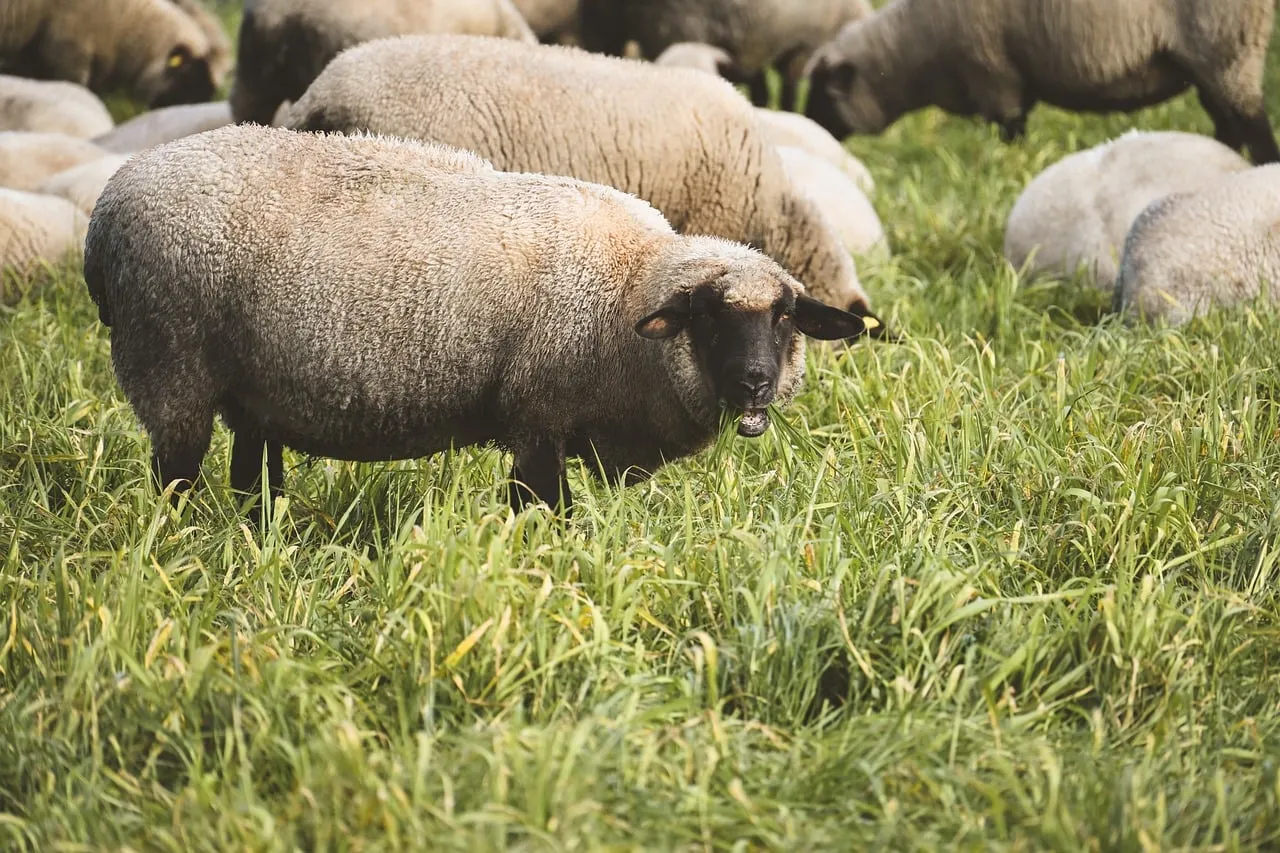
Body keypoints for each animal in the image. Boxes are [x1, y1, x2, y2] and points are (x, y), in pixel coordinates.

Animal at [83, 124, 867, 514]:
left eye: (786, 318)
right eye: (707, 317)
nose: (755, 383)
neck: (625, 291)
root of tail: (108, 207)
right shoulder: (538, 415)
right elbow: (547, 511)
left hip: (249, 388)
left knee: (251, 479)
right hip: (170, 364)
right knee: (176, 477)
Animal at [804, 0, 1280, 165]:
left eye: (823, 97)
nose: (806, 126)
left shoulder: (992, 71)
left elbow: (1010, 129)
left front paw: (1012, 163)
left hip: (1228, 45)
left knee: (1252, 122)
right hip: (1213, 60)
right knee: (1228, 121)